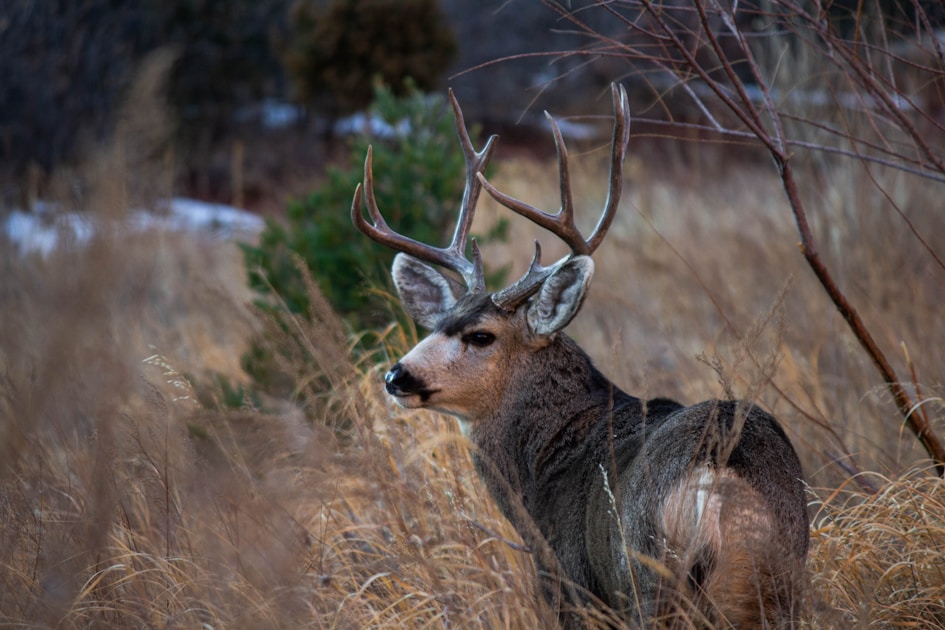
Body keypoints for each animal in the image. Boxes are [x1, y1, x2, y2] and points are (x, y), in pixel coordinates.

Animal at [351, 83, 809, 628]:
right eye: (439, 324)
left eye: (481, 336)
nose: (396, 376)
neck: (542, 475)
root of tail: (715, 480)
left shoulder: (569, 585)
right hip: (783, 578)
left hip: (646, 582)